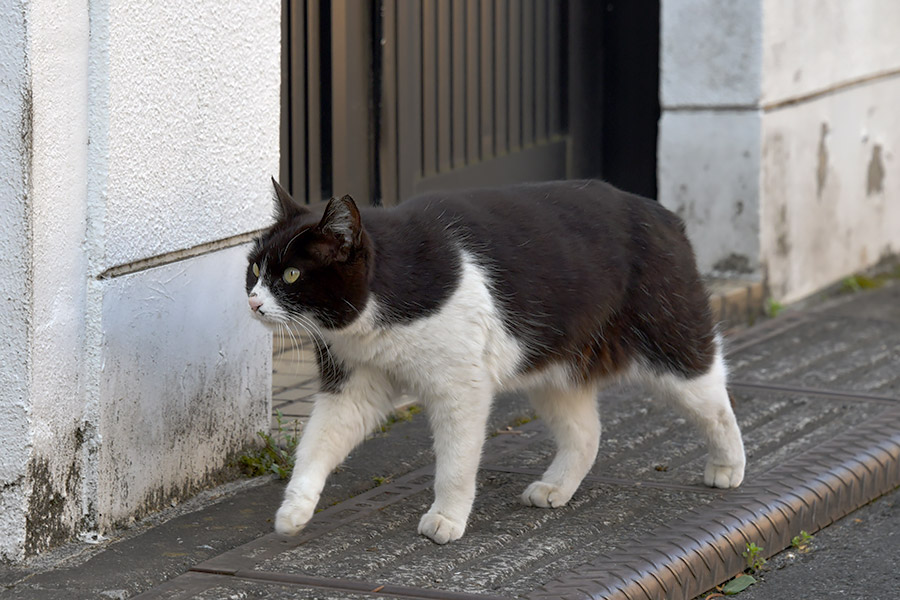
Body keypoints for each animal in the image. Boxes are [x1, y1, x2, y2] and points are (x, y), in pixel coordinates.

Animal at [244, 177, 744, 544]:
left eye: (291, 275)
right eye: (254, 269)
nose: (252, 302)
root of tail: (663, 212)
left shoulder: (460, 388)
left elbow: (456, 462)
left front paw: (446, 519)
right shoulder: (353, 386)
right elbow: (317, 445)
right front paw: (294, 510)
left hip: (671, 346)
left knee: (716, 401)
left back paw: (728, 468)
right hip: (555, 371)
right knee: (587, 434)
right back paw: (555, 488)